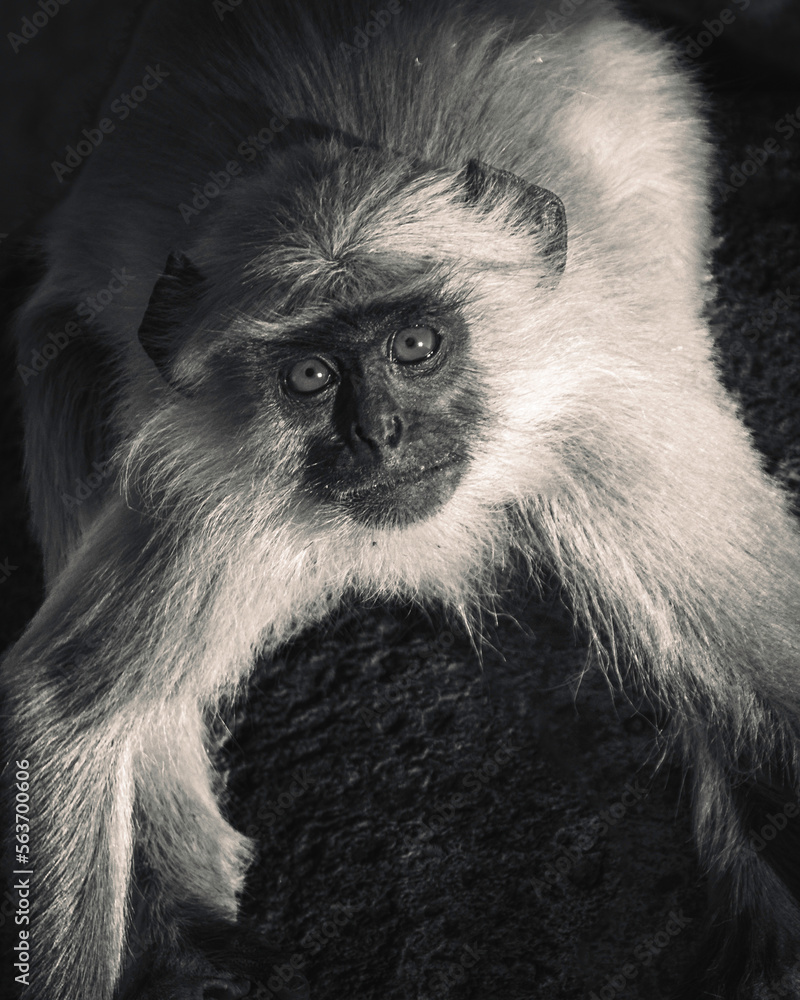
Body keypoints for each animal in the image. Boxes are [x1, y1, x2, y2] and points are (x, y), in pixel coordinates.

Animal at [2, 0, 800, 997]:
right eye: (311, 377)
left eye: (417, 346)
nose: (378, 433)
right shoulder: (208, 496)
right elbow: (58, 715)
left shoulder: (606, 431)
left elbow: (773, 681)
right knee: (64, 365)